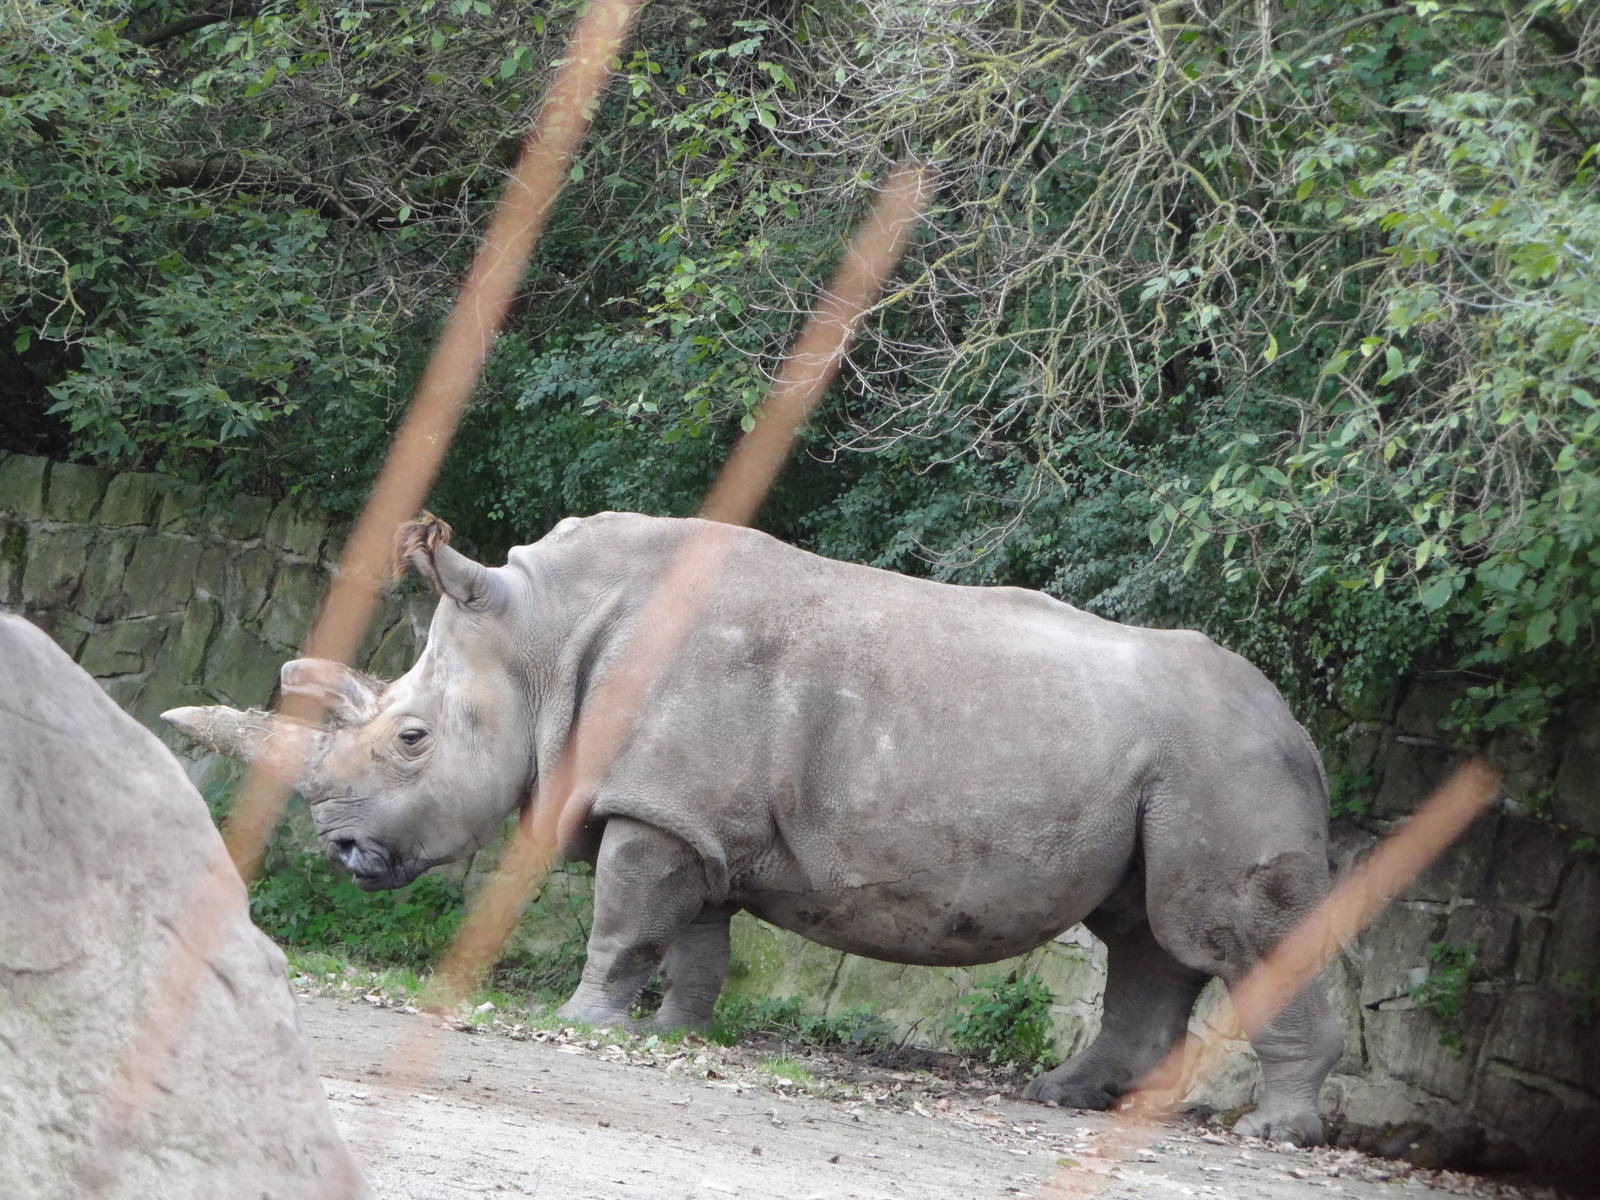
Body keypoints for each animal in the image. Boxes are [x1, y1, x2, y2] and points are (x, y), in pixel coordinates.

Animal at [164, 511, 1343, 1144]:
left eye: (410, 739)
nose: (341, 853)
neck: (544, 637)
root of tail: (1301, 727)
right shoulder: (692, 819)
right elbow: (693, 938)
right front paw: (667, 1037)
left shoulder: (656, 809)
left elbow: (621, 921)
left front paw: (579, 1018)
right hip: (1181, 767)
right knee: (1145, 936)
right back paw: (1068, 1100)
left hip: (1229, 764)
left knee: (1230, 935)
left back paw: (1269, 1131)